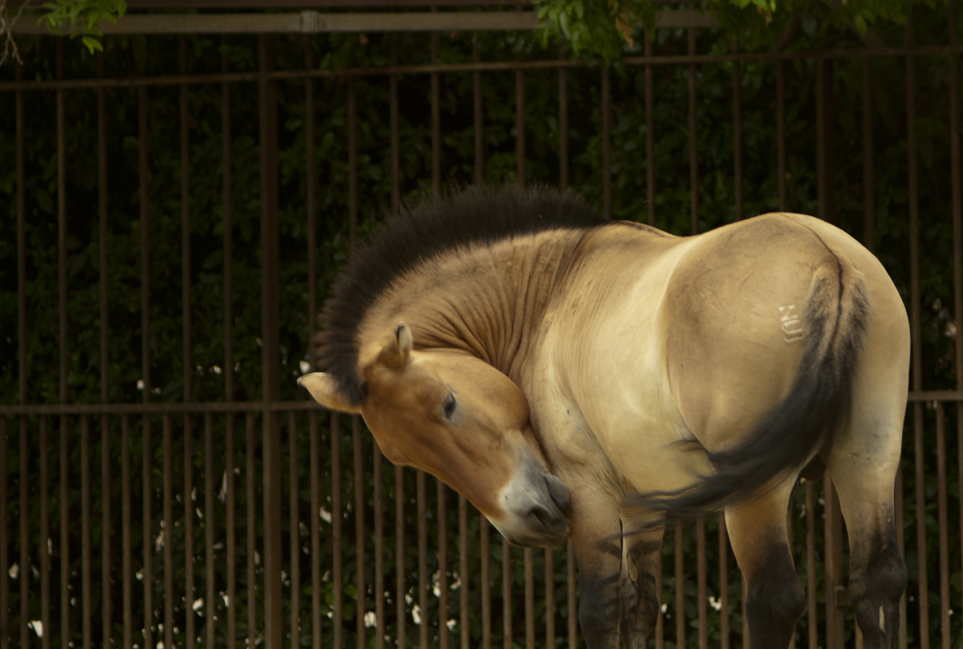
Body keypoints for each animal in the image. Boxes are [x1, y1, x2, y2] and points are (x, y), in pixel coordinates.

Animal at [302, 186, 912, 648]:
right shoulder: (643, 509)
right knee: (876, 586)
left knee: (774, 599)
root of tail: (829, 260)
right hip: (868, 458)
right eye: (401, 456)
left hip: (758, 495)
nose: (526, 521)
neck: (550, 293)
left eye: (447, 403)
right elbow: (640, 609)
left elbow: (601, 609)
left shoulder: (590, 495)